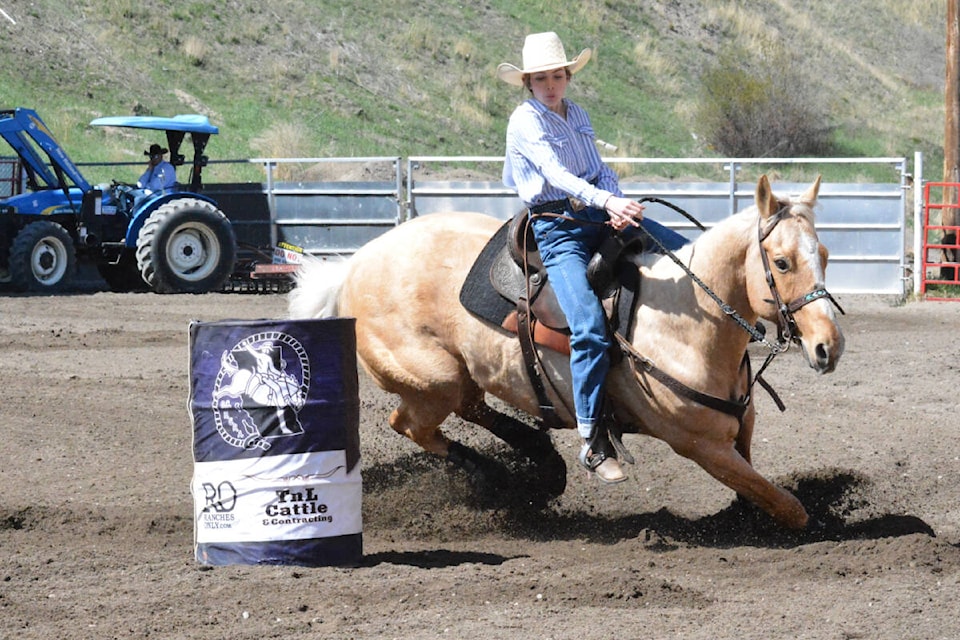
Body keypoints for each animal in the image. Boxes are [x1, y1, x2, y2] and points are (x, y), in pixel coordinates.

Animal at [288, 176, 844, 528]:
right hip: (431, 380)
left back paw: (540, 463)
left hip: (458, 377)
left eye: (824, 253)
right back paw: (498, 477)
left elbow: (756, 485)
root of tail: (354, 264)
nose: (828, 347)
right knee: (411, 424)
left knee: (470, 408)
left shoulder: (738, 428)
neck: (689, 319)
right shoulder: (698, 444)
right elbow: (788, 507)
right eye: (782, 261)